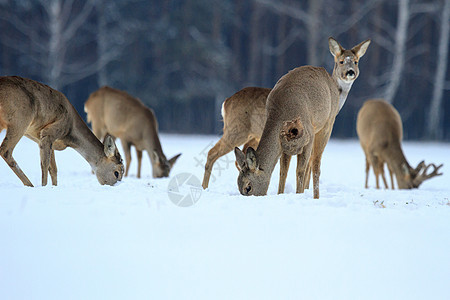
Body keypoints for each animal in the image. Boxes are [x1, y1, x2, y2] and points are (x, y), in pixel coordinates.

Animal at [234, 37, 370, 198]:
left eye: (248, 187)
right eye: (238, 186)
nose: (350, 72)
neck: (280, 115)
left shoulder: (308, 135)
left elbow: (300, 170)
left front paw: (299, 195)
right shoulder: (284, 144)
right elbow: (283, 171)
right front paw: (280, 194)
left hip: (327, 126)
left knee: (317, 164)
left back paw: (316, 197)